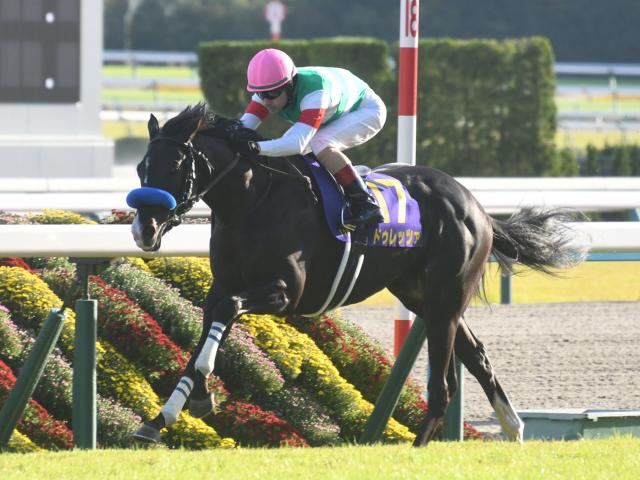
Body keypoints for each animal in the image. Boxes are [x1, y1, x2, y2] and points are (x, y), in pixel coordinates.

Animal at [126, 102, 584, 446]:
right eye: (141, 168)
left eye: (174, 166)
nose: (143, 230)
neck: (253, 201)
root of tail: (476, 205)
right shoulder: (222, 285)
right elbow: (205, 333)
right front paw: (161, 417)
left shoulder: (285, 292)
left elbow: (224, 315)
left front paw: (198, 397)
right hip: (421, 296)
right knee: (477, 356)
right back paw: (513, 427)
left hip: (446, 297)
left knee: (443, 387)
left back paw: (420, 449)